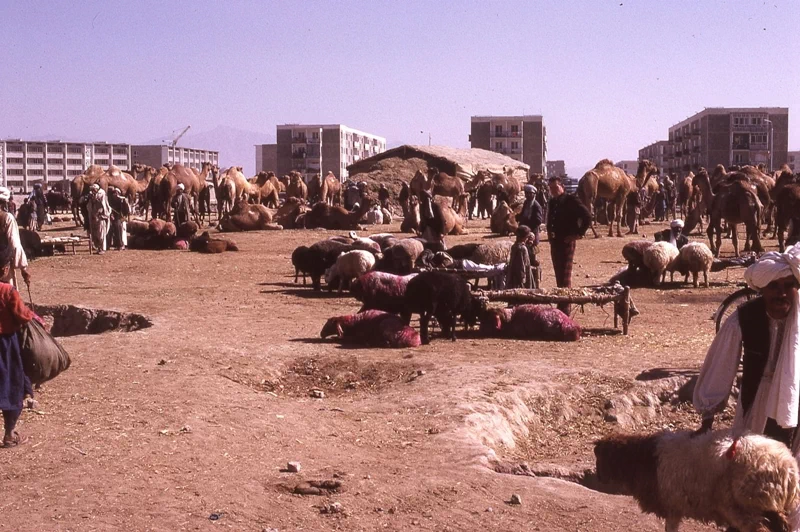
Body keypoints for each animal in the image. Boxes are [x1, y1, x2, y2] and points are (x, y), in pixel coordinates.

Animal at [592, 428, 800, 532]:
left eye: (600, 457)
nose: (599, 477)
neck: (644, 457)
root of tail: (788, 468)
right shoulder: (675, 507)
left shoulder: (673, 505)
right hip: (768, 505)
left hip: (744, 506)